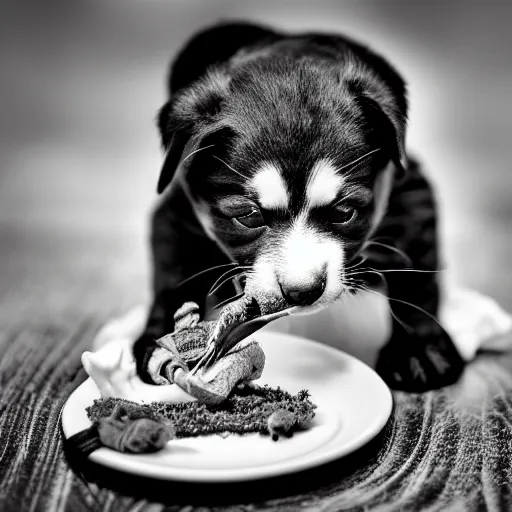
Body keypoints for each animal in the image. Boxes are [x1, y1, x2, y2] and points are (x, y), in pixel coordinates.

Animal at [133, 21, 464, 392]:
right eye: (248, 216)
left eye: (344, 212)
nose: (302, 291)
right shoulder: (179, 213)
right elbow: (172, 279)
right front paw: (162, 343)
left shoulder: (408, 193)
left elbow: (417, 275)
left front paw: (420, 350)